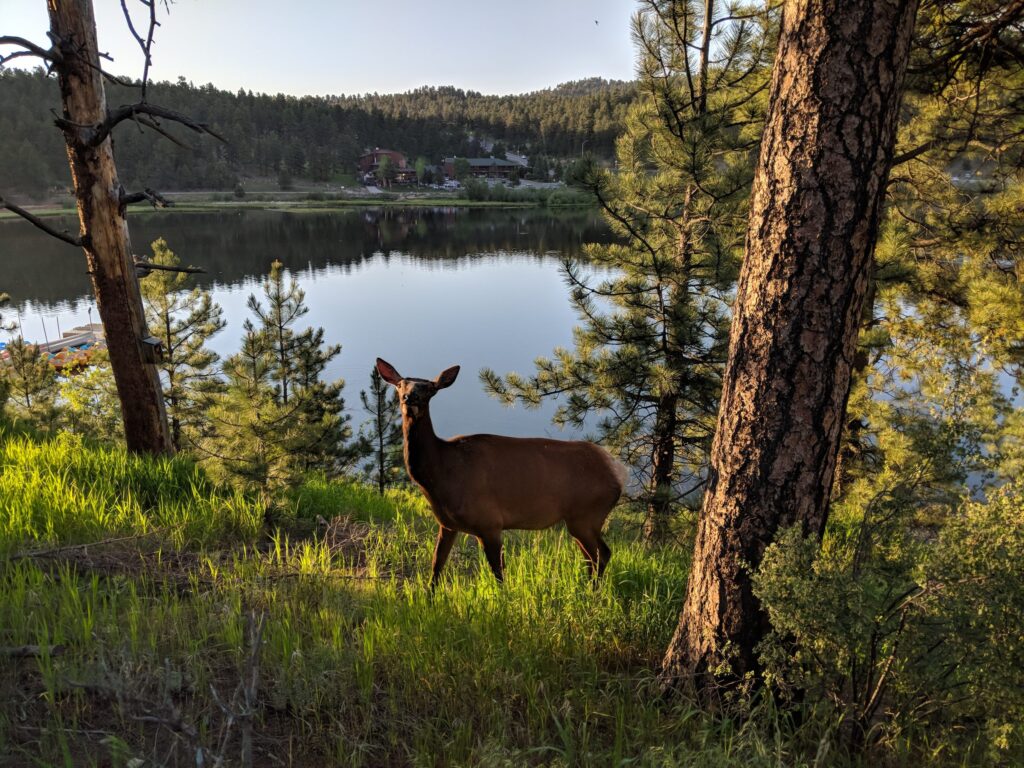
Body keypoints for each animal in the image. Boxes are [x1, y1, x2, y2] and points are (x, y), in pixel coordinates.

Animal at [375, 358, 627, 587]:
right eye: (401, 384)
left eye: (429, 388)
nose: (410, 398)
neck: (440, 475)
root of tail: (617, 472)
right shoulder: (447, 524)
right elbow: (436, 567)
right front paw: (430, 599)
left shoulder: (489, 522)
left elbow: (498, 574)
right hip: (582, 519)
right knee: (593, 557)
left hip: (586, 514)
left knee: (602, 554)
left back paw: (592, 593)